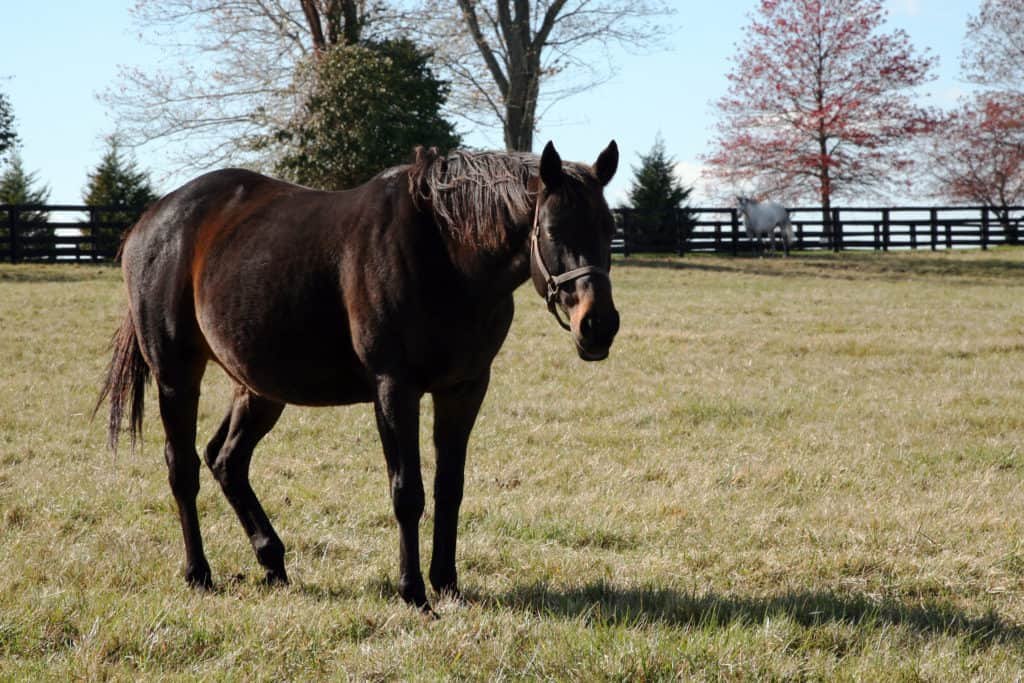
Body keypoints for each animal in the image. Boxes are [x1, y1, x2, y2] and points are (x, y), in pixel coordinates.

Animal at [99, 139, 618, 610]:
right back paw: (199, 573)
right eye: (552, 230)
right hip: (176, 376)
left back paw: (273, 561)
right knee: (183, 468)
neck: (445, 253)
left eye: (609, 228)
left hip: (259, 389)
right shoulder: (394, 389)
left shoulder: (464, 388)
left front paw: (447, 584)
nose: (598, 325)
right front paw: (414, 593)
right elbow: (408, 492)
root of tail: (150, 222)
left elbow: (450, 488)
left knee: (226, 459)